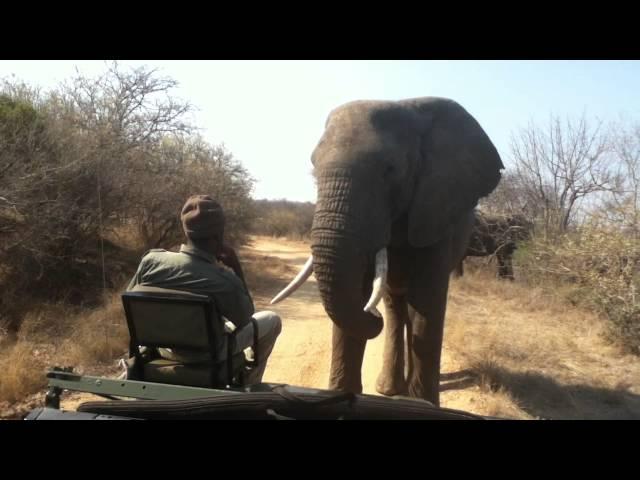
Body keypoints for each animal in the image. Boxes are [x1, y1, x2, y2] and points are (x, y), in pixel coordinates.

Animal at [268, 96, 502, 404]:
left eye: (389, 170)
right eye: (313, 168)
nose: (372, 314)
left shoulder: (435, 211)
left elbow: (426, 303)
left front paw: (422, 404)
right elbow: (357, 295)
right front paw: (340, 395)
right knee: (395, 307)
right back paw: (389, 389)